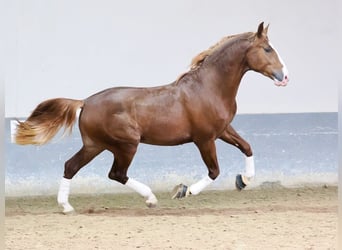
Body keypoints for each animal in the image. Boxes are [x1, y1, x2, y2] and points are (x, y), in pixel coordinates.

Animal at [15, 23, 288, 213]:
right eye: (267, 49)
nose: (284, 77)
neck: (207, 87)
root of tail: (85, 102)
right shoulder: (204, 138)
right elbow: (214, 171)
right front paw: (183, 191)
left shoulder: (222, 130)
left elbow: (247, 147)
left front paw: (243, 181)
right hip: (126, 144)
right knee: (116, 174)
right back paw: (151, 199)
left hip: (96, 145)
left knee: (71, 166)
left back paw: (66, 207)